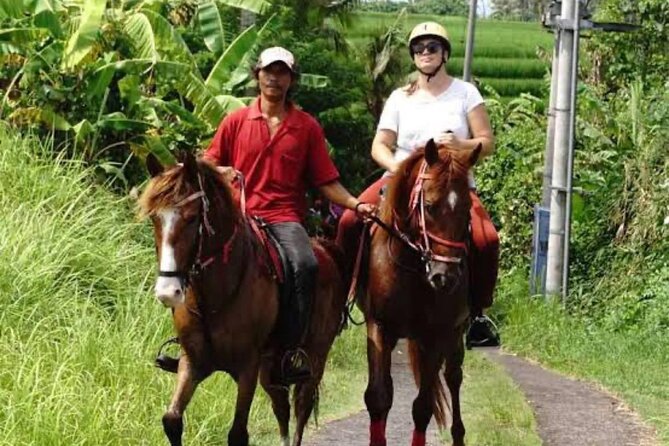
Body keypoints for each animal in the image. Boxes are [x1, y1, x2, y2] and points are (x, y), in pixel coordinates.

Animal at [138, 152, 347, 446]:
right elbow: (171, 420)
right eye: (155, 219)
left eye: (192, 219)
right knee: (281, 405)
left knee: (301, 408)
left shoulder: (248, 367)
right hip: (271, 365)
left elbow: (237, 433)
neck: (215, 296)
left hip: (315, 356)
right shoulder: (192, 362)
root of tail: (325, 249)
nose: (168, 292)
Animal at [359, 139, 481, 446]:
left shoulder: (435, 335)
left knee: (453, 377)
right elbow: (378, 397)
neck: (413, 265)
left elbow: (422, 407)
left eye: (467, 209)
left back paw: (458, 435)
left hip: (455, 332)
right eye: (429, 205)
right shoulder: (379, 327)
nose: (444, 277)